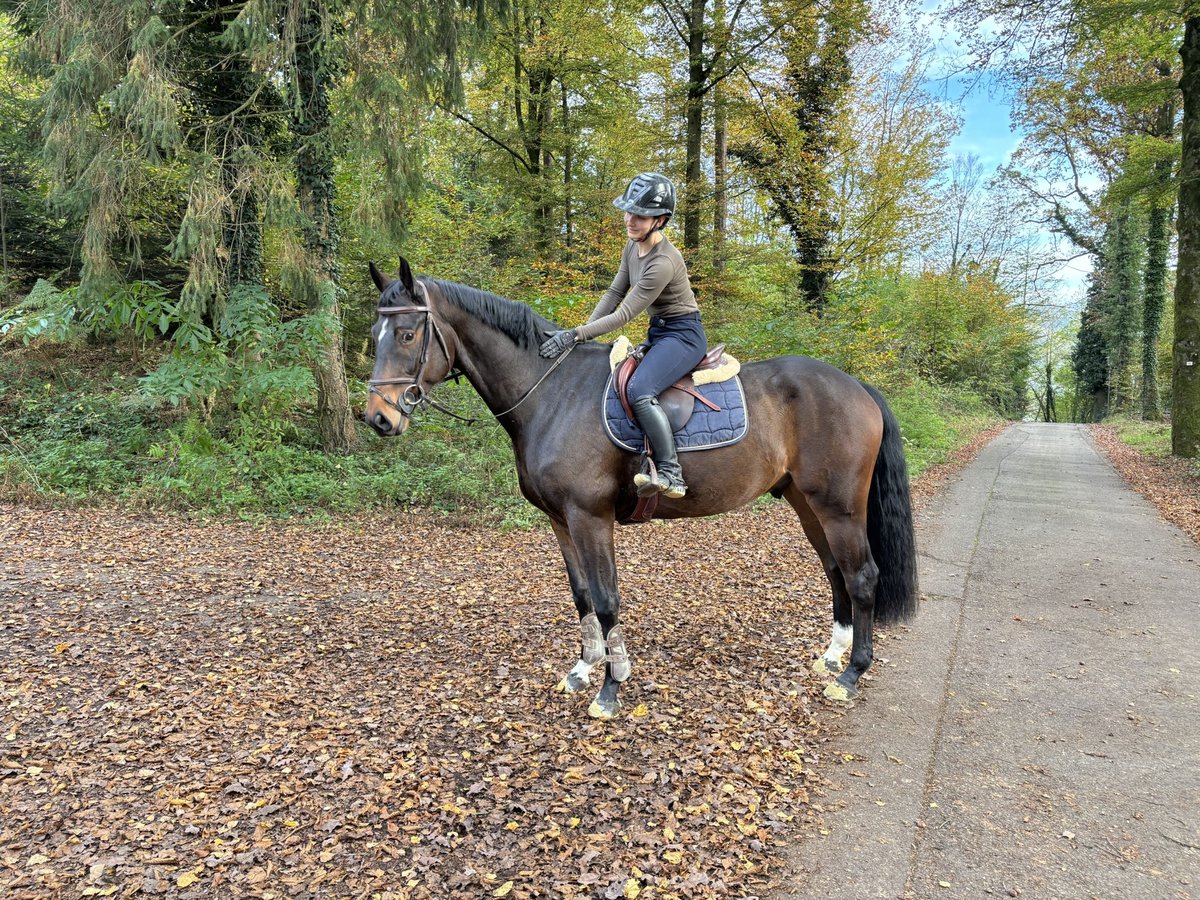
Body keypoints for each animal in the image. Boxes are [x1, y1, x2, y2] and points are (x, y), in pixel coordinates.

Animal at [364, 259, 916, 720]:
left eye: (408, 333)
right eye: (375, 333)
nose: (379, 418)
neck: (551, 393)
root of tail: (856, 386)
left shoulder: (590, 517)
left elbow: (607, 600)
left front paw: (611, 688)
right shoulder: (560, 520)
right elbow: (582, 596)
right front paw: (583, 669)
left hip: (839, 507)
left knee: (862, 576)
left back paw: (851, 674)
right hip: (807, 503)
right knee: (835, 571)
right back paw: (832, 656)